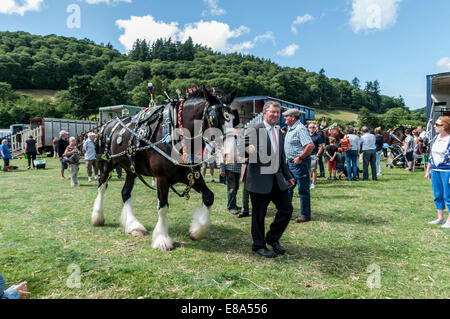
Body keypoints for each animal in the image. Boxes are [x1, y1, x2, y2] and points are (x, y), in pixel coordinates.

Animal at [91, 86, 239, 251]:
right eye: (215, 118)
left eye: (233, 119)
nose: (232, 153)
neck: (176, 133)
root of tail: (107, 124)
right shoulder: (162, 178)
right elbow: (163, 207)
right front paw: (162, 240)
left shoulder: (191, 175)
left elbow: (209, 196)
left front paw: (196, 230)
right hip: (106, 164)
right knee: (101, 187)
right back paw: (98, 217)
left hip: (131, 169)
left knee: (125, 193)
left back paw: (133, 226)